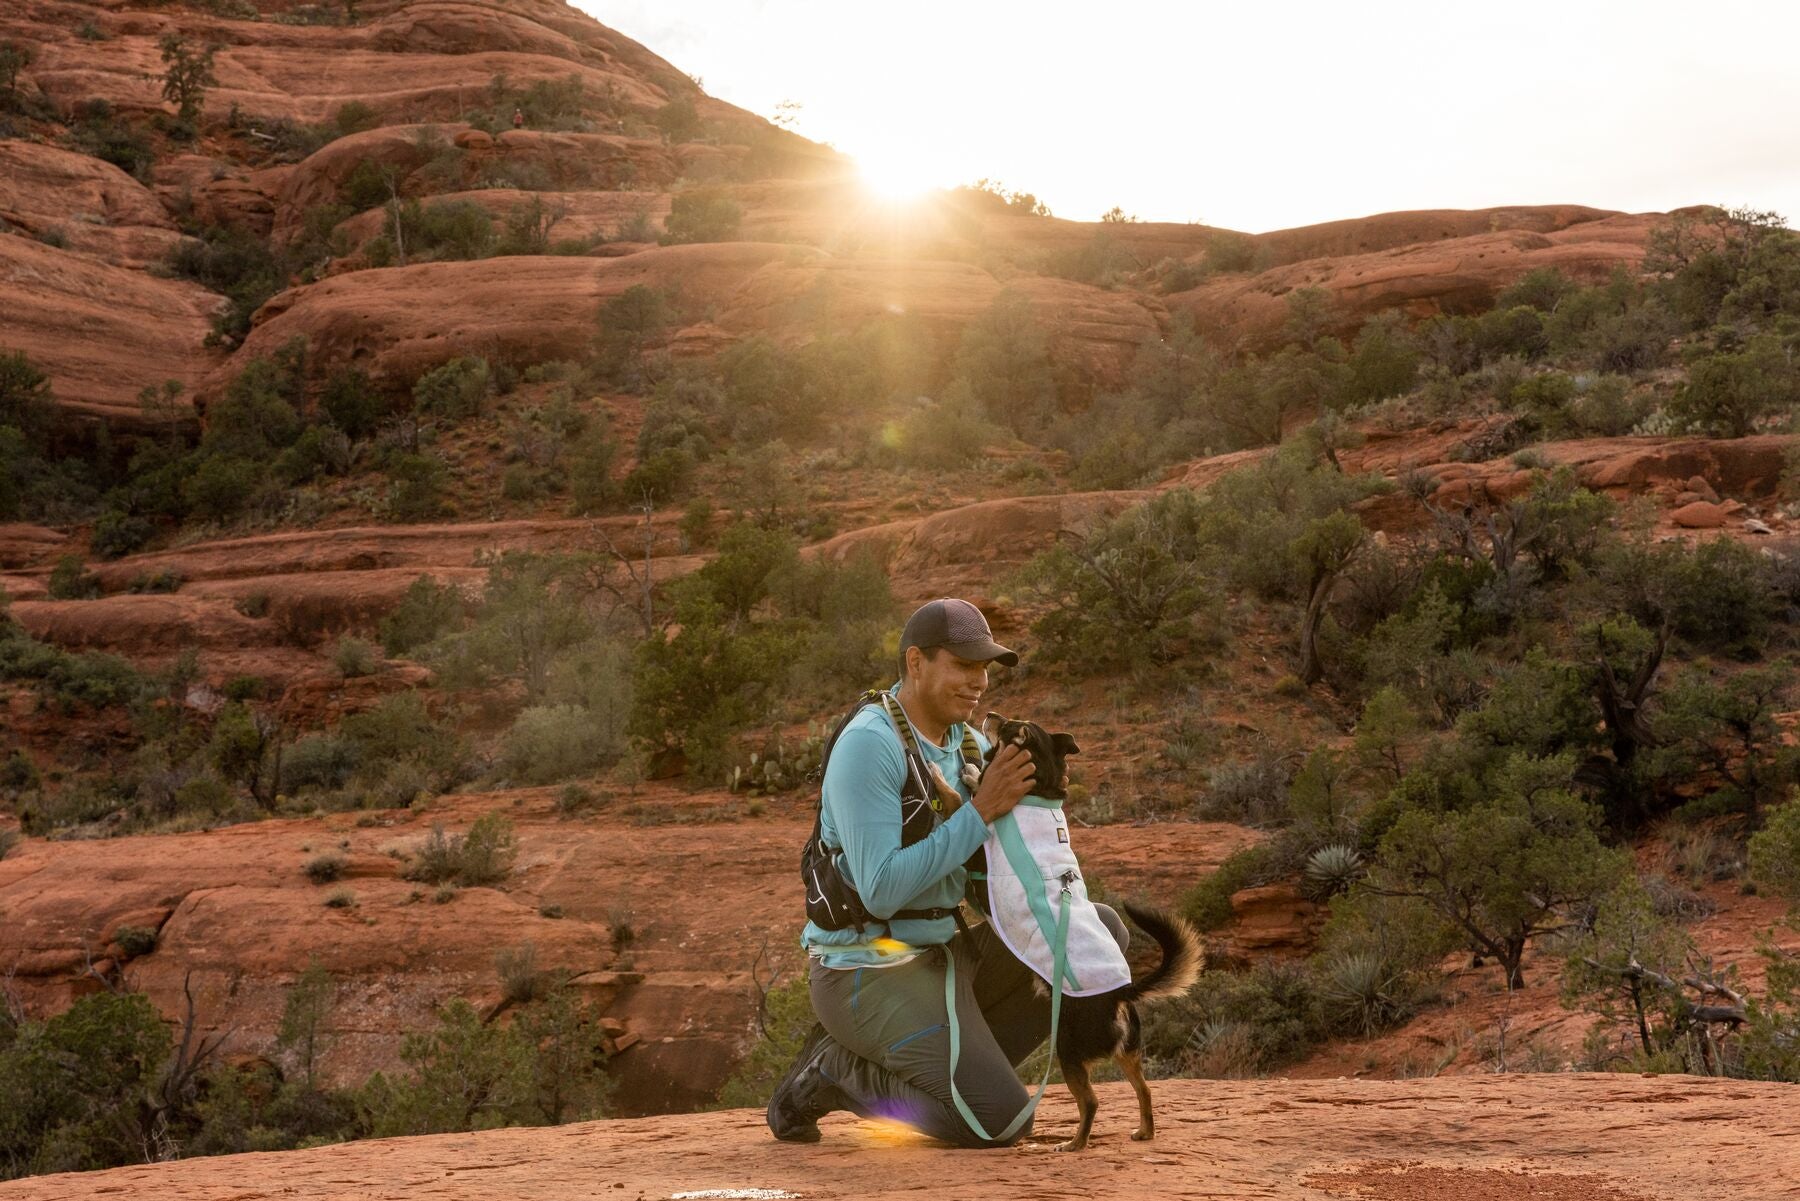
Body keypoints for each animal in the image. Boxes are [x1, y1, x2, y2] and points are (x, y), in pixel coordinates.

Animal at [928, 713, 1209, 1152]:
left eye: (1006, 726)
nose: (988, 714)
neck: (1036, 792)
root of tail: (1122, 993)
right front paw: (973, 774)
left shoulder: (975, 853)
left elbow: (960, 804)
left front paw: (947, 776)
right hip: (1126, 1053)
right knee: (1145, 1090)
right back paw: (1144, 1131)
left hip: (1068, 1049)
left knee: (1091, 1101)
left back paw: (1074, 1144)